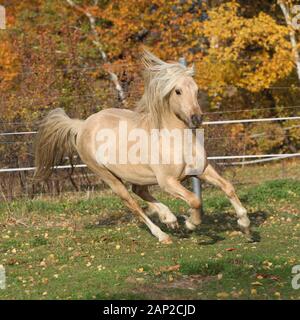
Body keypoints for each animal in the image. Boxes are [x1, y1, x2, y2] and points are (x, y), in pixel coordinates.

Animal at [34, 51, 251, 244]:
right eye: (178, 91)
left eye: (197, 90)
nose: (196, 118)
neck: (176, 141)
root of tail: (82, 125)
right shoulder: (168, 182)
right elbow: (195, 200)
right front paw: (191, 223)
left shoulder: (202, 170)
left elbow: (228, 187)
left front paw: (245, 225)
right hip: (110, 178)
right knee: (132, 203)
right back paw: (163, 234)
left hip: (138, 174)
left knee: (140, 191)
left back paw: (169, 218)